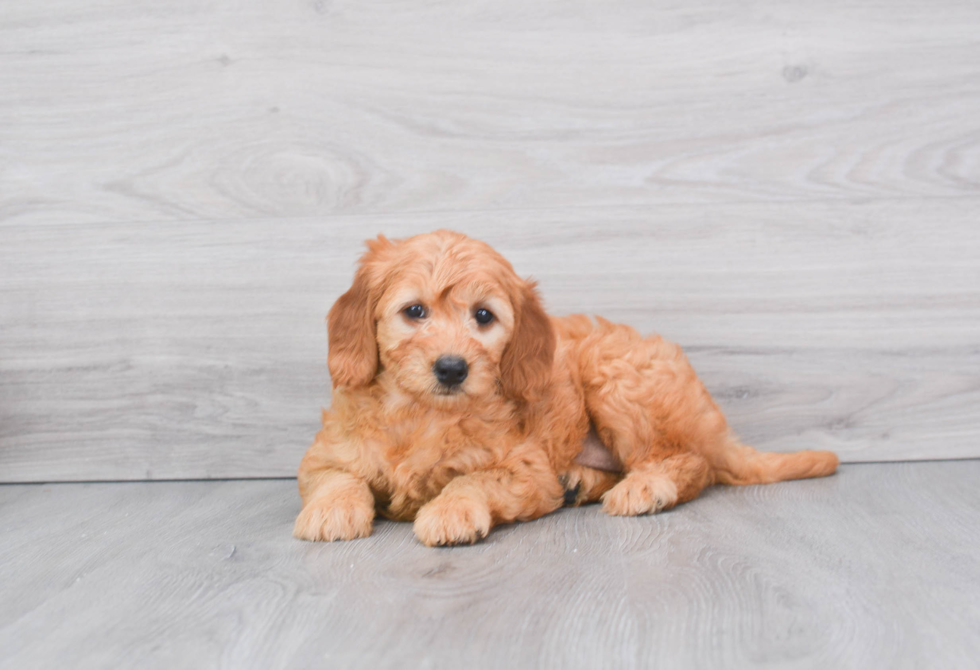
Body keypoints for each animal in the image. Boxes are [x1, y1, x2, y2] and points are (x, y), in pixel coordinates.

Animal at [294, 231, 840, 544]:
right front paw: (331, 512)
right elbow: (336, 478)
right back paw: (580, 482)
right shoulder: (325, 453)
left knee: (690, 462)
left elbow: (471, 479)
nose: (452, 368)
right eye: (414, 311)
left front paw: (449, 511)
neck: (421, 413)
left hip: (615, 375)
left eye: (484, 317)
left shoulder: (524, 467)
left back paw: (644, 488)